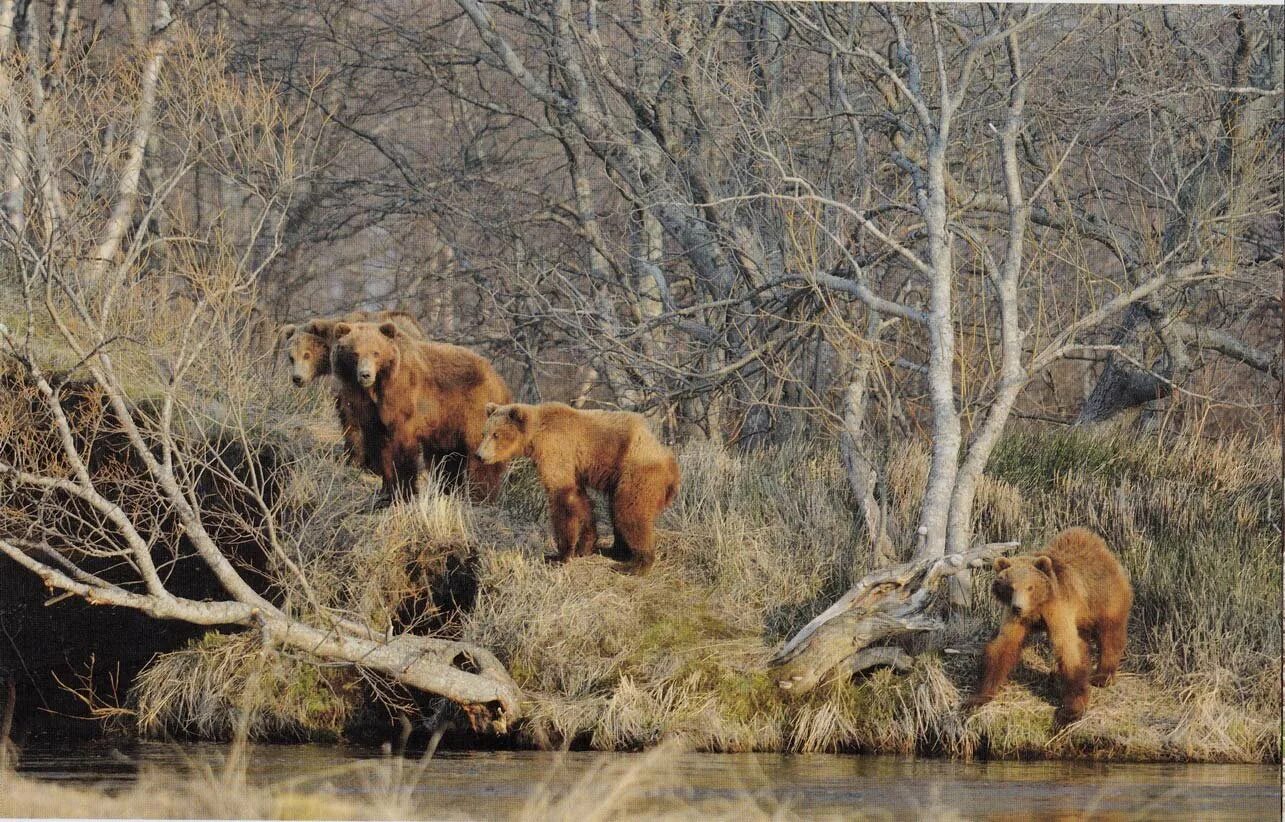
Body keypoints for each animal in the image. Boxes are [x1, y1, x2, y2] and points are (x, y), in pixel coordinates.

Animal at [475, 400, 678, 575]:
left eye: (496, 434)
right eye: (484, 433)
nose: (479, 455)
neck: (535, 435)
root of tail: (671, 464)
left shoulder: (557, 449)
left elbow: (562, 496)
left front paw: (560, 555)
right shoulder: (574, 466)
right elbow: (581, 500)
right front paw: (585, 545)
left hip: (637, 471)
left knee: (629, 511)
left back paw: (636, 564)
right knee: (616, 510)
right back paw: (615, 550)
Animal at [966, 526, 1135, 724]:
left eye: (1030, 587)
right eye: (1010, 586)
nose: (1017, 607)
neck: (1037, 607)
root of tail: (1102, 549)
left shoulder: (1059, 608)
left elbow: (1068, 649)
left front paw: (1070, 711)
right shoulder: (1016, 619)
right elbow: (1004, 645)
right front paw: (976, 698)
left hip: (1104, 596)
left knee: (1110, 634)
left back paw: (1102, 676)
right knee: (1085, 638)